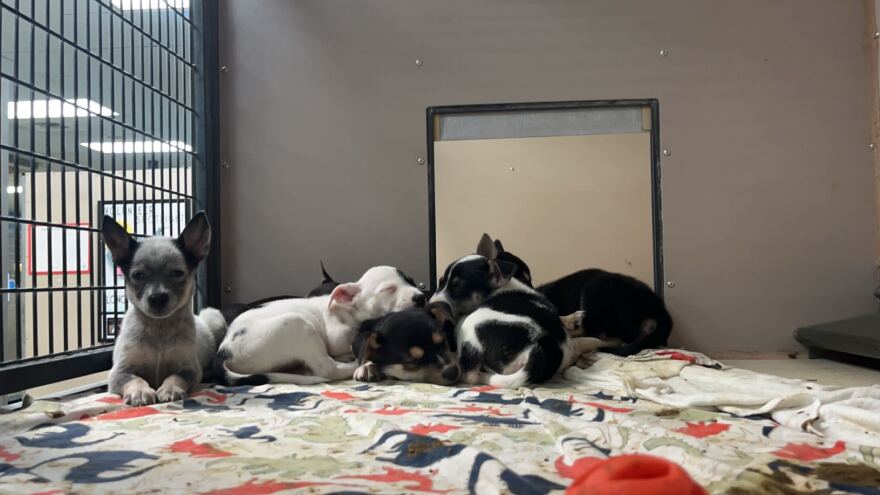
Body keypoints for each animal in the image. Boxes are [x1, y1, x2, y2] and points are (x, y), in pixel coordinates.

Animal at [102, 213, 227, 406]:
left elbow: (174, 376)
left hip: (214, 316)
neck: (159, 328)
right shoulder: (120, 372)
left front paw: (170, 389)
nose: (157, 298)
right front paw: (140, 392)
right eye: (138, 275)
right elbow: (135, 379)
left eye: (177, 273)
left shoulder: (189, 369)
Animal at [218, 266, 428, 386]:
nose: (420, 297)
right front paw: (362, 361)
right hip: (297, 324)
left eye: (412, 281)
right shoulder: (336, 339)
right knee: (327, 369)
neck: (350, 312)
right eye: (388, 289)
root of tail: (224, 351)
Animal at [428, 234, 604, 390]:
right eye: (440, 282)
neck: (501, 287)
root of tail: (537, 346)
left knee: (470, 374)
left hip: (469, 326)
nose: (430, 303)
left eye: (457, 287)